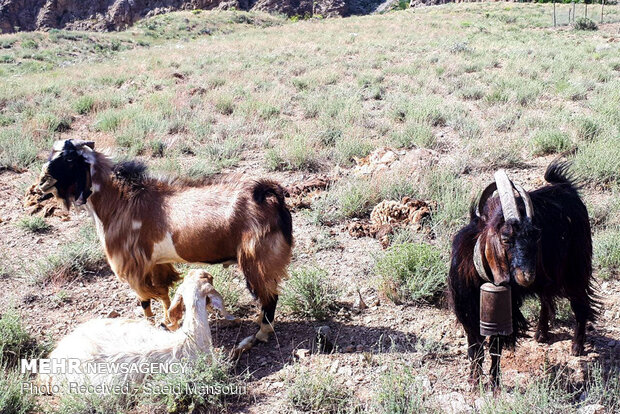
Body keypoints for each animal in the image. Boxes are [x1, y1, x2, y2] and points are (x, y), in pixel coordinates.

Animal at [37, 139, 294, 350]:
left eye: (69, 159)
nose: (42, 182)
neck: (121, 201)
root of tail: (270, 195)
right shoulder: (156, 264)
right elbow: (164, 294)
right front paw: (170, 323)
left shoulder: (133, 266)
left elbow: (144, 301)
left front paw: (153, 326)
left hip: (257, 260)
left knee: (269, 298)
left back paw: (259, 334)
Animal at [448, 160, 600, 390]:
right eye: (505, 238)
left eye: (536, 236)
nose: (526, 276)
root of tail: (567, 188)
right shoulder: (468, 312)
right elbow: (475, 350)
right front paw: (474, 382)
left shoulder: (503, 313)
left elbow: (494, 348)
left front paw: (494, 385)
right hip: (549, 276)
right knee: (547, 298)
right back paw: (541, 334)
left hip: (575, 268)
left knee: (580, 303)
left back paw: (576, 346)